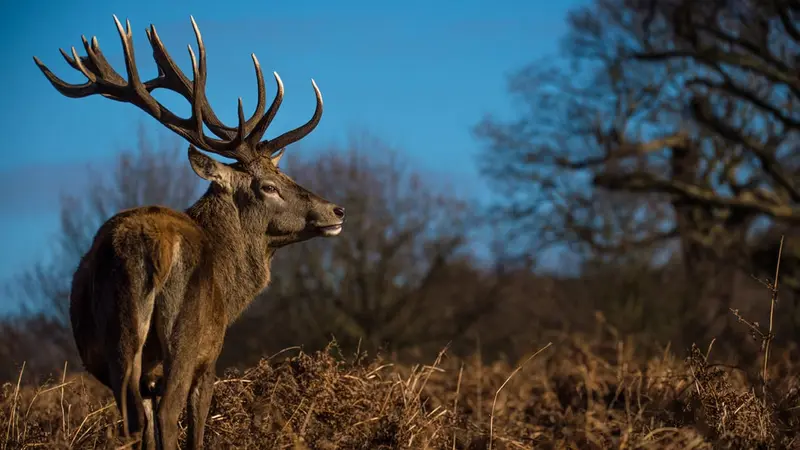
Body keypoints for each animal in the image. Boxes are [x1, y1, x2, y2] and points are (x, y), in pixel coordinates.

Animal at [33, 15, 345, 450]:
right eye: (268, 186)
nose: (337, 210)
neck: (232, 291)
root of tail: (143, 249)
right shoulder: (209, 356)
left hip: (115, 348)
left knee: (132, 420)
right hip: (184, 336)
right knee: (167, 414)